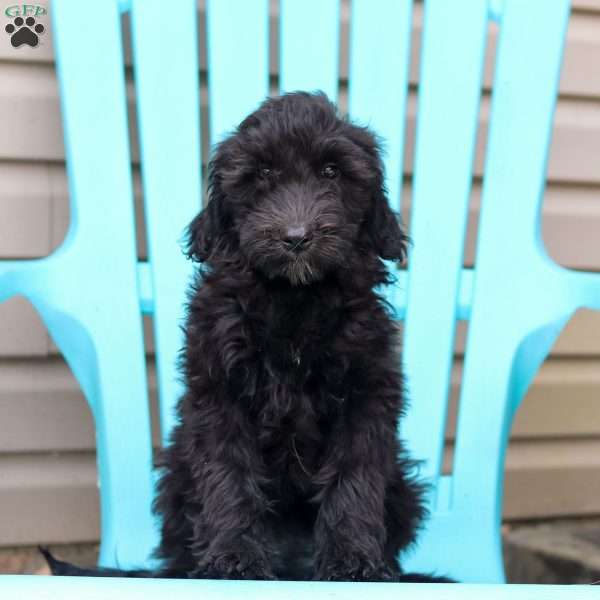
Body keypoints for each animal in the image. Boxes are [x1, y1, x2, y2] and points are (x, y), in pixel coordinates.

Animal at [45, 92, 450, 580]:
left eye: (332, 172)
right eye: (263, 174)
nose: (297, 237)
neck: (294, 302)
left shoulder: (366, 393)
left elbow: (355, 474)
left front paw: (354, 561)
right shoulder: (219, 393)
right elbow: (229, 475)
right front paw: (233, 560)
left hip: (403, 484)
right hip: (177, 472)